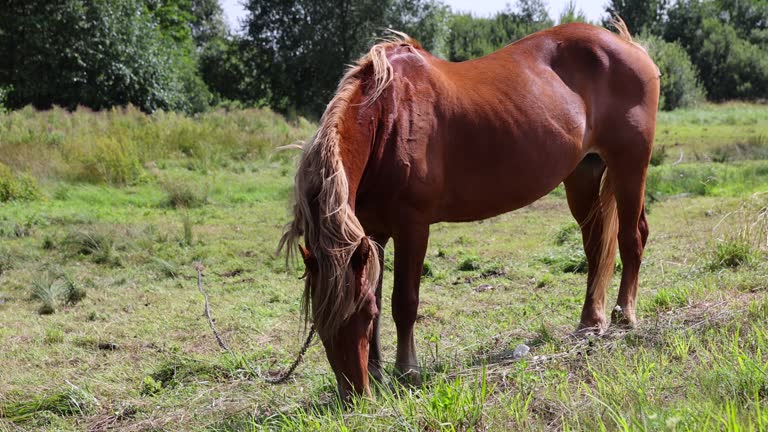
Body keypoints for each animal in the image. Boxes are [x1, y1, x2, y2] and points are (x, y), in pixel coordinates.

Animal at [280, 20, 660, 398]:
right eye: (319, 321)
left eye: (362, 314)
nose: (354, 394)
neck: (389, 117)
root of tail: (629, 47)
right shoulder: (373, 233)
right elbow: (378, 289)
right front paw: (377, 371)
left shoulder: (412, 226)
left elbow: (404, 302)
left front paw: (407, 371)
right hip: (583, 174)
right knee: (596, 247)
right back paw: (589, 323)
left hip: (629, 164)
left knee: (632, 237)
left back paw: (625, 315)